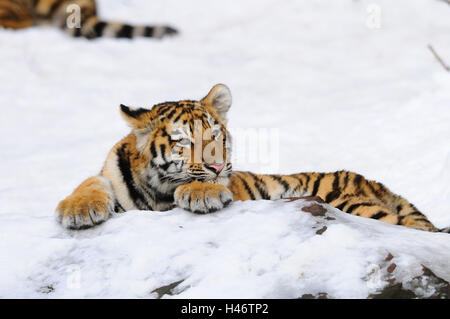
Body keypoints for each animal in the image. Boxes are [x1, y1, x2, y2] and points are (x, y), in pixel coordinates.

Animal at [54, 85, 448, 235]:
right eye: (184, 142)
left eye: (216, 135)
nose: (216, 166)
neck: (157, 192)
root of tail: (376, 183)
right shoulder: (111, 175)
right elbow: (91, 182)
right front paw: (79, 210)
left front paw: (202, 193)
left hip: (351, 202)